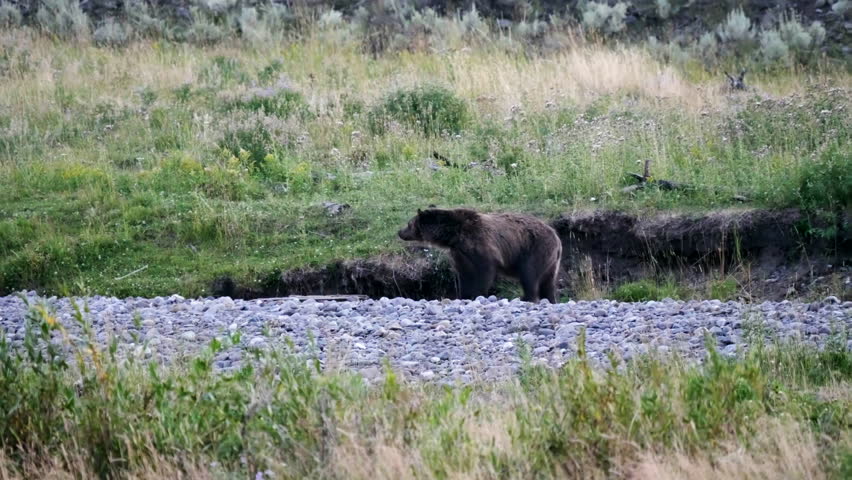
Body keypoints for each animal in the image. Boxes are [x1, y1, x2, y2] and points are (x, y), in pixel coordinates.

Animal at [398, 208, 564, 302]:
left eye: (409, 224)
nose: (399, 232)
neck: (455, 235)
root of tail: (557, 238)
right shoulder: (461, 253)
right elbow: (464, 274)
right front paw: (464, 294)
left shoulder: (481, 244)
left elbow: (484, 271)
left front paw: (479, 293)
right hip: (551, 261)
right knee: (548, 281)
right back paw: (550, 298)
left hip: (534, 249)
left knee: (529, 274)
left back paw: (528, 297)